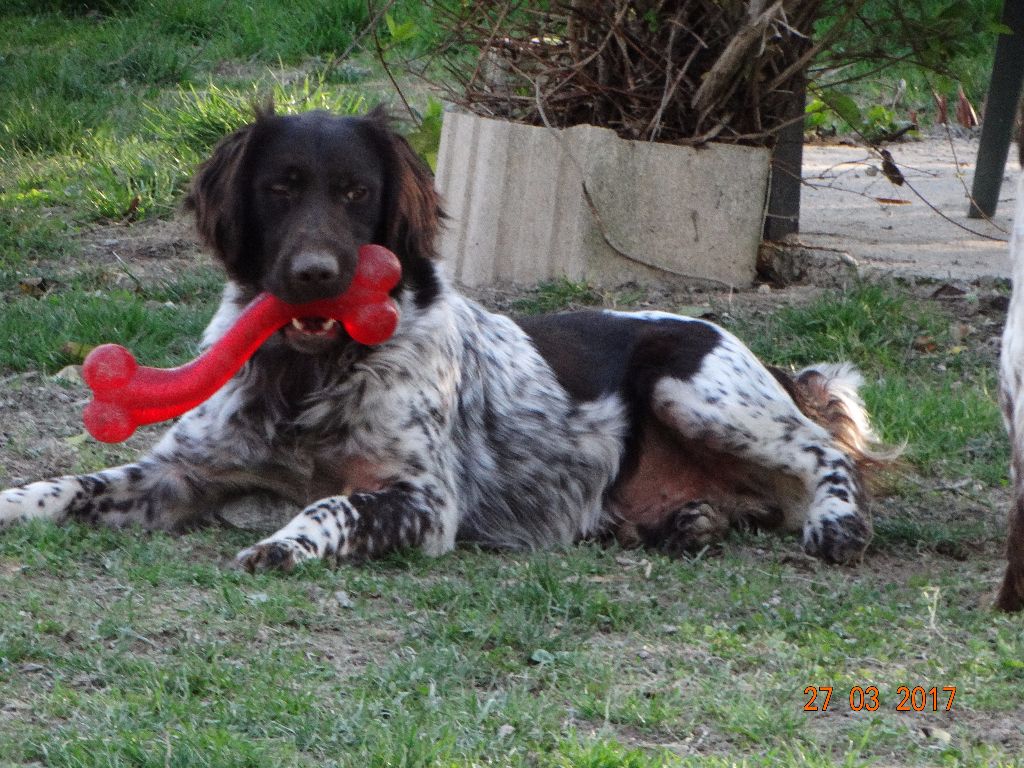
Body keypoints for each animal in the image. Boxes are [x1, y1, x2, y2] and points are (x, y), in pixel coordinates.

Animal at [2, 109, 888, 577]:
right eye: (279, 188)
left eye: (356, 192)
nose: (316, 275)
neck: (308, 378)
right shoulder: (177, 474)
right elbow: (70, 484)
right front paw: (13, 501)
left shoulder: (425, 503)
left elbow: (327, 503)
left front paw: (285, 541)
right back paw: (685, 521)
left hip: (692, 384)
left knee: (823, 452)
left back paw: (836, 523)